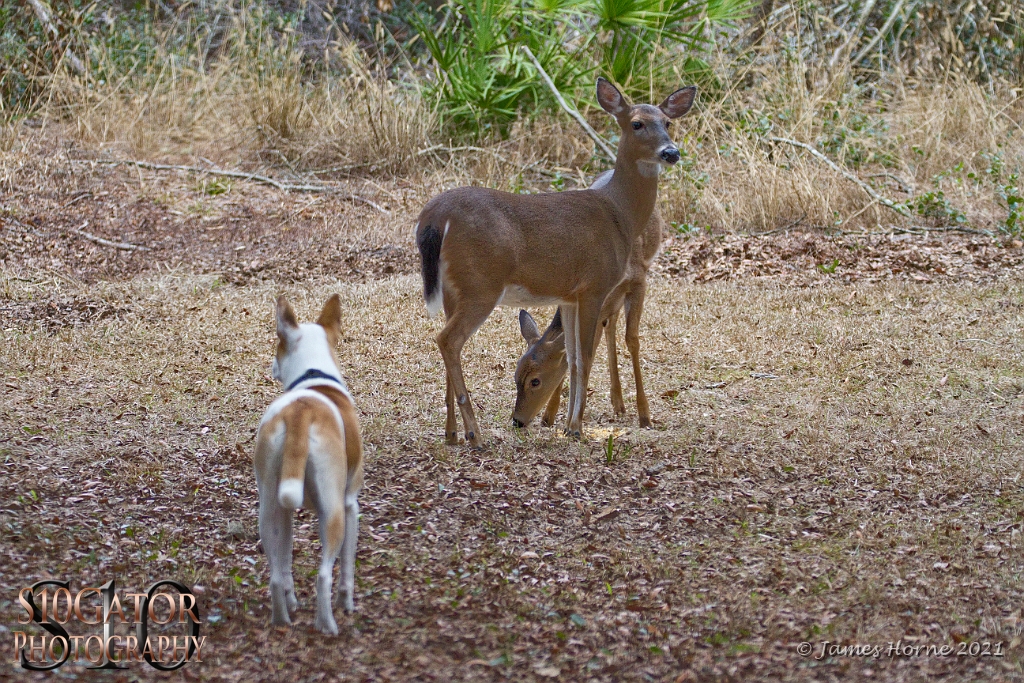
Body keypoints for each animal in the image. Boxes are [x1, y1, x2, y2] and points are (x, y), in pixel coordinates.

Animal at [253, 294, 366, 634]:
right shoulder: (350, 505)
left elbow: (286, 564)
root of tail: (299, 413)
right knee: (324, 575)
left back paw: (281, 618)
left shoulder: (287, 513)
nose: (271, 366)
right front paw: (347, 603)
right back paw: (328, 625)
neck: (313, 376)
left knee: (276, 576)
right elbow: (347, 569)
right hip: (333, 513)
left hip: (269, 509)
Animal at [512, 168, 663, 430]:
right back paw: (617, 402)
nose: (517, 421)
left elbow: (632, 340)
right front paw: (552, 415)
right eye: (516, 376)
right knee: (608, 327)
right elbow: (580, 352)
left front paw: (645, 414)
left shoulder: (638, 280)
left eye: (535, 381)